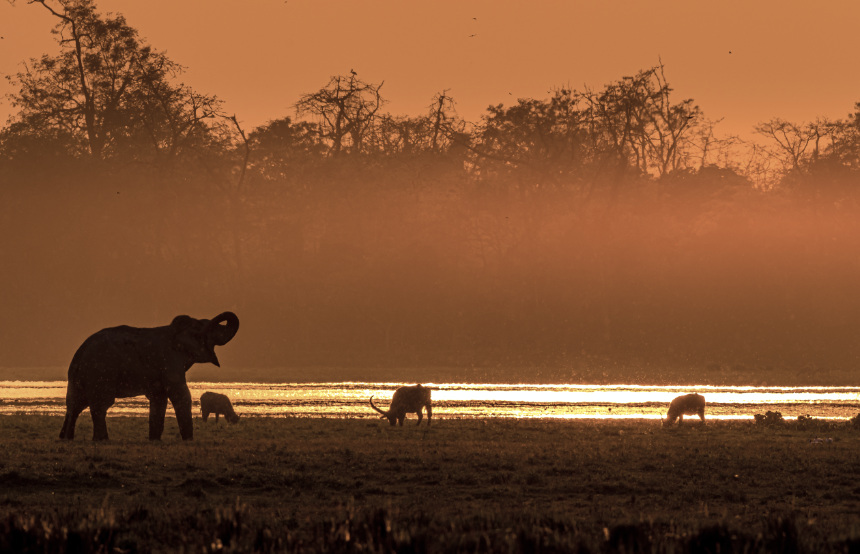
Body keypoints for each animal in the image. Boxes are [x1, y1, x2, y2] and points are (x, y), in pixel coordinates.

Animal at [58, 310, 239, 440]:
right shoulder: (169, 361)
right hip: (100, 373)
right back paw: (102, 440)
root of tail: (79, 353)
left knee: (75, 404)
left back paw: (66, 438)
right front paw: (188, 440)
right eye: (203, 332)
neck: (174, 331)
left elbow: (159, 398)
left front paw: (155, 440)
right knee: (100, 404)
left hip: (80, 377)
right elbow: (181, 395)